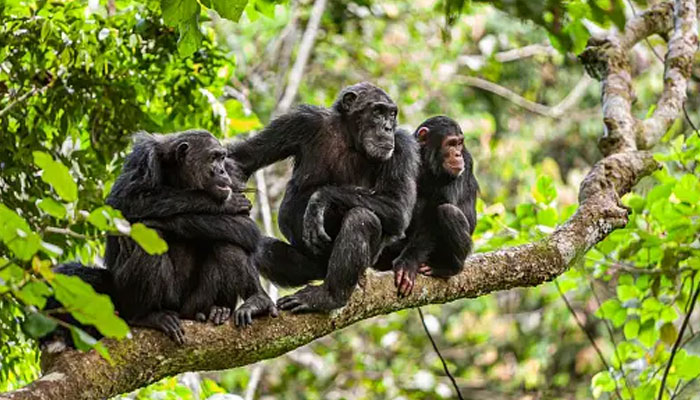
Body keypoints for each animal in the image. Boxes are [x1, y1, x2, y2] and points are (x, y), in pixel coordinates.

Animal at [227, 81, 418, 312]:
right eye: (378, 112)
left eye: (391, 114)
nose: (388, 127)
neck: (350, 137)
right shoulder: (300, 121)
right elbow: (241, 160)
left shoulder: (403, 147)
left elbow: (397, 206)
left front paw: (319, 200)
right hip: (309, 267)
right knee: (259, 248)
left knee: (361, 219)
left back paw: (328, 297)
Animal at [378, 115, 482, 296]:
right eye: (451, 143)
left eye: (459, 144)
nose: (457, 154)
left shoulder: (467, 160)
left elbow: (434, 212)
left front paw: (408, 263)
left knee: (448, 212)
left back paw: (448, 268)